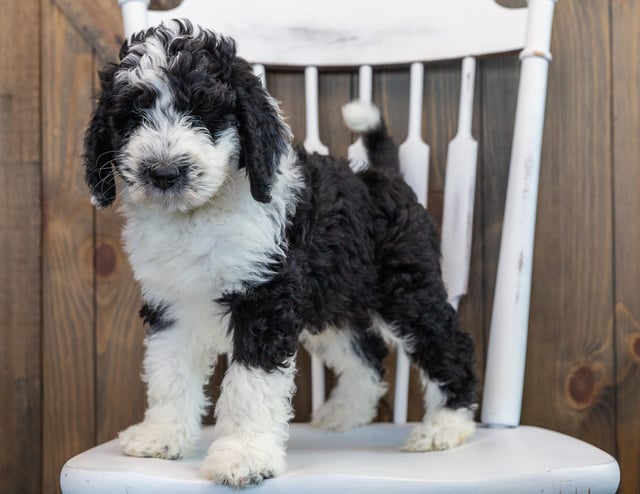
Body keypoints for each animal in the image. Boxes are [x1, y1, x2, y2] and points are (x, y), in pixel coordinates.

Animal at [84, 18, 476, 486]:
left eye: (204, 111)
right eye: (131, 117)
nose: (164, 172)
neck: (200, 215)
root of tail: (383, 178)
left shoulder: (264, 299)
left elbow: (249, 385)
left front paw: (244, 457)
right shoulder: (170, 304)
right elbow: (168, 372)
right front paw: (161, 437)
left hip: (406, 291)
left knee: (445, 343)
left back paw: (446, 426)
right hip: (333, 299)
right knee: (366, 353)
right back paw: (346, 413)